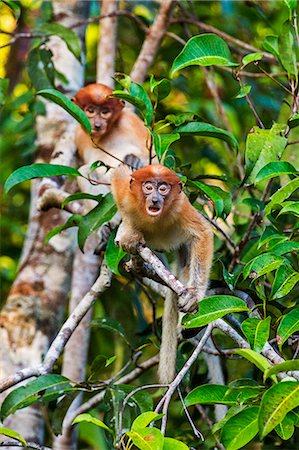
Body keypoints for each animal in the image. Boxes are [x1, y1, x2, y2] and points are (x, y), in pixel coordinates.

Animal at [111, 164, 214, 384]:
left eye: (164, 189)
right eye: (148, 187)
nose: (155, 199)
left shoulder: (180, 206)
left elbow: (203, 233)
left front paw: (193, 296)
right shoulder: (126, 194)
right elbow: (118, 174)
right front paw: (128, 233)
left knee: (186, 266)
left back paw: (189, 326)